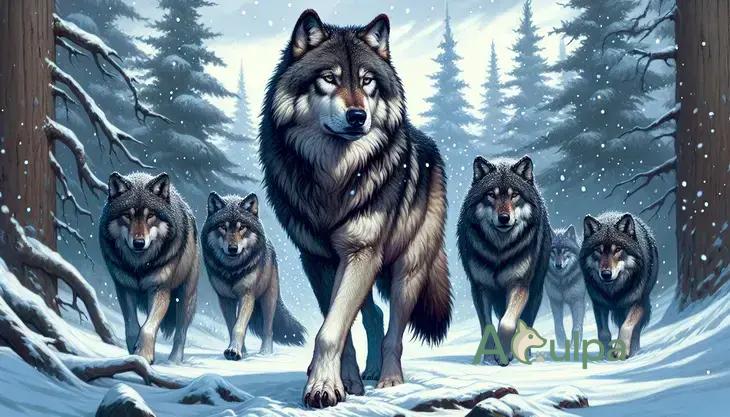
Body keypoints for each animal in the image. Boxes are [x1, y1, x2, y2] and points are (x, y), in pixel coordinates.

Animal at [99, 172, 199, 363]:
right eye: (127, 215)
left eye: (150, 215)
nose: (139, 243)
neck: (140, 266)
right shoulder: (124, 288)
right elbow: (132, 326)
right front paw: (133, 351)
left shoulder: (160, 289)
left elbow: (148, 327)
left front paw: (144, 354)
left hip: (185, 297)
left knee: (181, 333)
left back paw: (174, 361)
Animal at [202, 192, 306, 360]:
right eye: (223, 227)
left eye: (242, 227)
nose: (233, 248)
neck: (232, 270)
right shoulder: (225, 299)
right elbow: (232, 326)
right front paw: (239, 351)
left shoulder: (247, 295)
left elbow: (239, 327)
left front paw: (234, 351)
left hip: (269, 298)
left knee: (268, 329)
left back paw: (265, 354)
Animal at [259, 9, 452, 407]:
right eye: (329, 78)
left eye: (367, 82)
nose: (357, 117)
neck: (335, 177)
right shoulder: (318, 260)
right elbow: (337, 327)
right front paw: (340, 383)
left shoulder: (361, 251)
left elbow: (331, 329)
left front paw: (322, 386)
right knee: (374, 314)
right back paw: (370, 372)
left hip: (407, 268)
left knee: (394, 329)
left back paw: (391, 379)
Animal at [457, 156, 551, 365]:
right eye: (491, 195)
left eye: (514, 194)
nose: (504, 218)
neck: (499, 250)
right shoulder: (480, 288)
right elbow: (487, 326)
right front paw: (489, 358)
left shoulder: (519, 284)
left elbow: (507, 323)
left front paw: (504, 354)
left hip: (535, 293)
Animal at [580, 212, 657, 357]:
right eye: (598, 250)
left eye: (618, 250)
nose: (606, 274)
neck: (614, 292)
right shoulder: (598, 304)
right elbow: (603, 333)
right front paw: (606, 354)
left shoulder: (638, 302)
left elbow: (626, 327)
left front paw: (620, 350)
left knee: (634, 332)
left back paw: (634, 351)